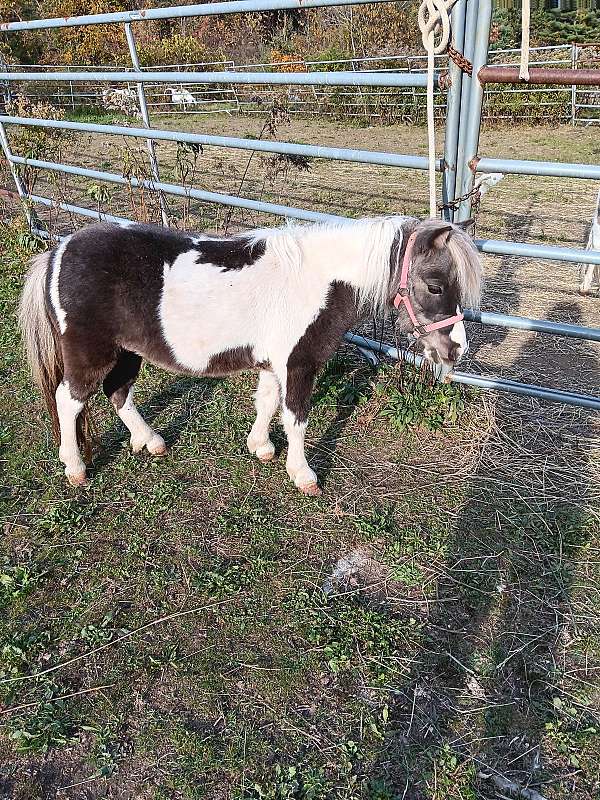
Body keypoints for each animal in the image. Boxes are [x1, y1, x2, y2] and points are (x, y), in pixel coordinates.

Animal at [18, 216, 482, 495]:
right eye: (436, 285)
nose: (456, 349)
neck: (318, 281)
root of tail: (57, 251)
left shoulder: (274, 363)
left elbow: (267, 403)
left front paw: (260, 447)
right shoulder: (299, 364)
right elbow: (296, 418)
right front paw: (303, 474)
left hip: (127, 351)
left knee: (118, 393)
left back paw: (149, 442)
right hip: (91, 353)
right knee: (69, 401)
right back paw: (75, 468)